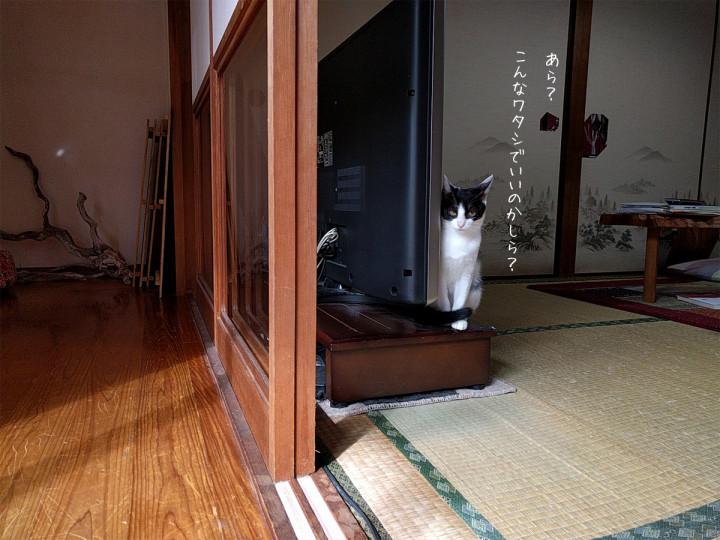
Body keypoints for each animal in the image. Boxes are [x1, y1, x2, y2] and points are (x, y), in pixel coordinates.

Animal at [431, 174, 493, 331]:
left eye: (471, 212)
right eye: (453, 211)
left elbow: (462, 294)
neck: (458, 239)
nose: (460, 223)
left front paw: (459, 320)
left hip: (476, 287)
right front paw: (447, 317)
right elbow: (443, 296)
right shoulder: (439, 271)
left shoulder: (468, 269)